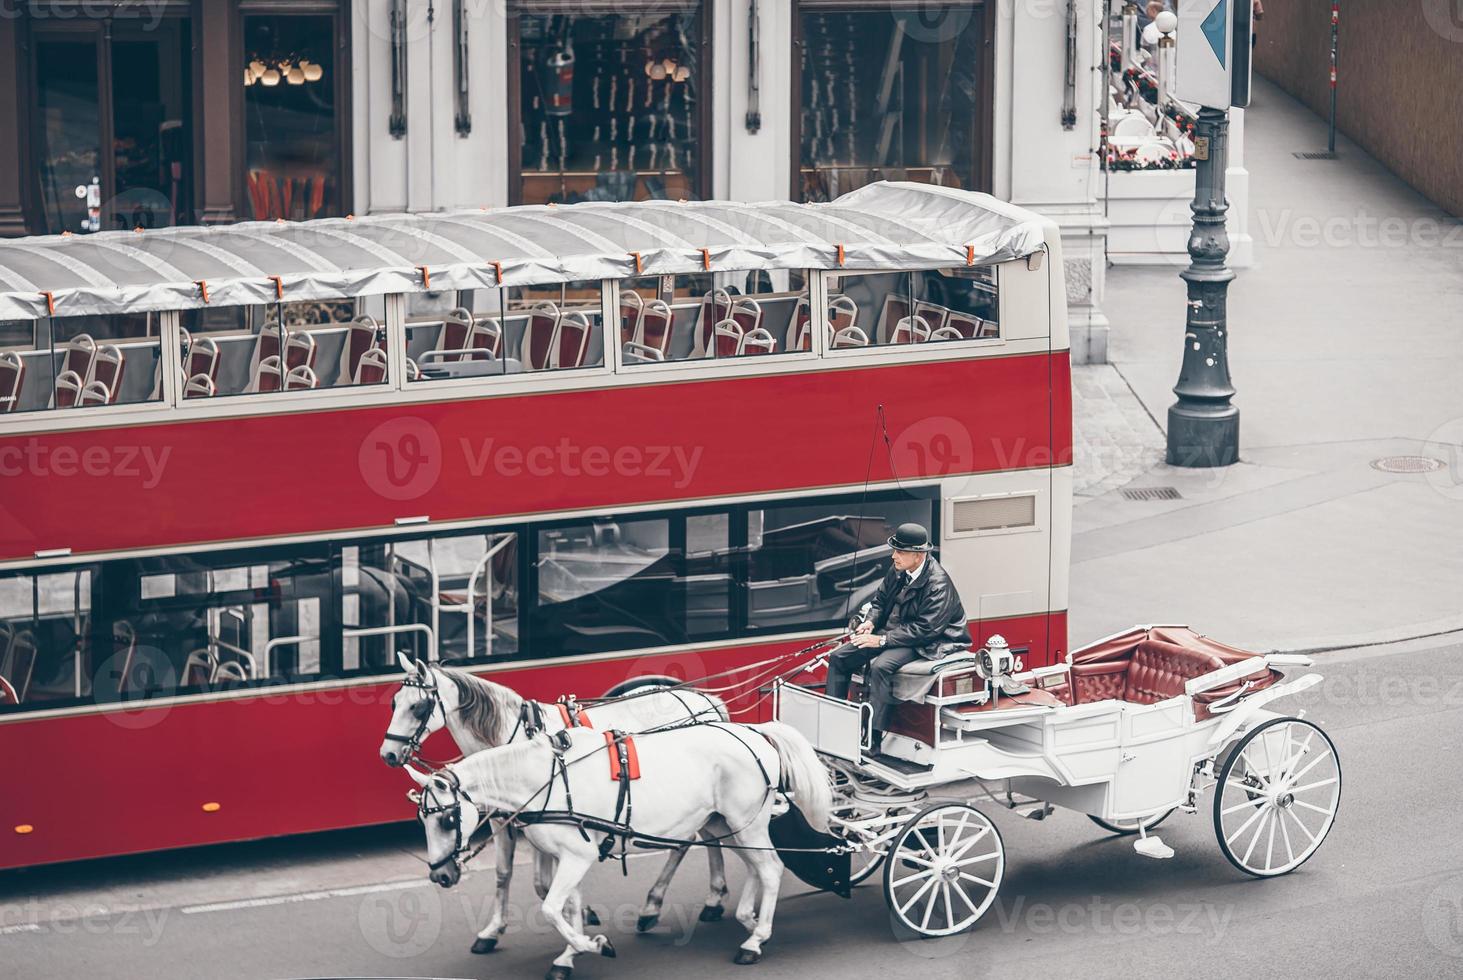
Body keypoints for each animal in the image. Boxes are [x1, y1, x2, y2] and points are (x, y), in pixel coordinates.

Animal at [380, 655, 731, 953]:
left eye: (418, 707)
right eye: (396, 702)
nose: (388, 754)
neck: (511, 739)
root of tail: (706, 701)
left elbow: (541, 883)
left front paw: (580, 919)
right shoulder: (502, 820)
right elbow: (504, 874)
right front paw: (493, 931)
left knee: (687, 841)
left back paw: (656, 905)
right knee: (707, 835)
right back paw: (710, 898)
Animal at [406, 722, 830, 977]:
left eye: (447, 820)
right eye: (421, 819)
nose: (440, 875)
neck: (544, 781)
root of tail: (754, 731)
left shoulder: (577, 857)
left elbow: (550, 908)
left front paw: (592, 945)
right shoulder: (570, 858)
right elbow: (568, 906)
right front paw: (570, 955)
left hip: (746, 822)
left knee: (770, 869)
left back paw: (754, 940)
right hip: (724, 825)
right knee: (757, 867)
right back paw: (748, 919)